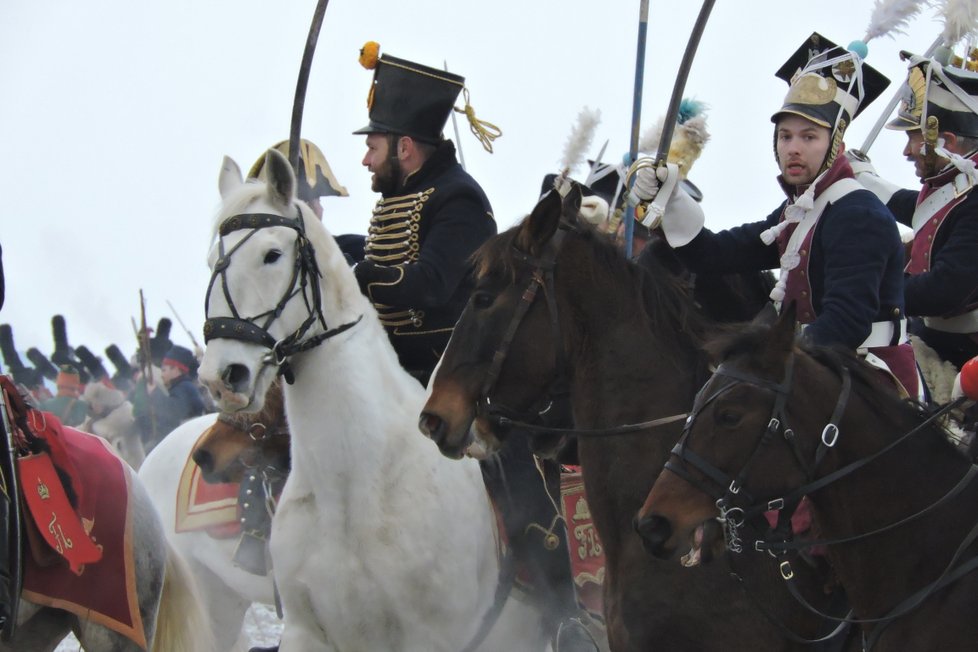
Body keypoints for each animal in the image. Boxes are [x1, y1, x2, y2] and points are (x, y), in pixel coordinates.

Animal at [198, 148, 548, 652]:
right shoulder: (305, 632)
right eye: (212, 260)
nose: (221, 377)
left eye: (272, 254)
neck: (352, 486)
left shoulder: (431, 637)